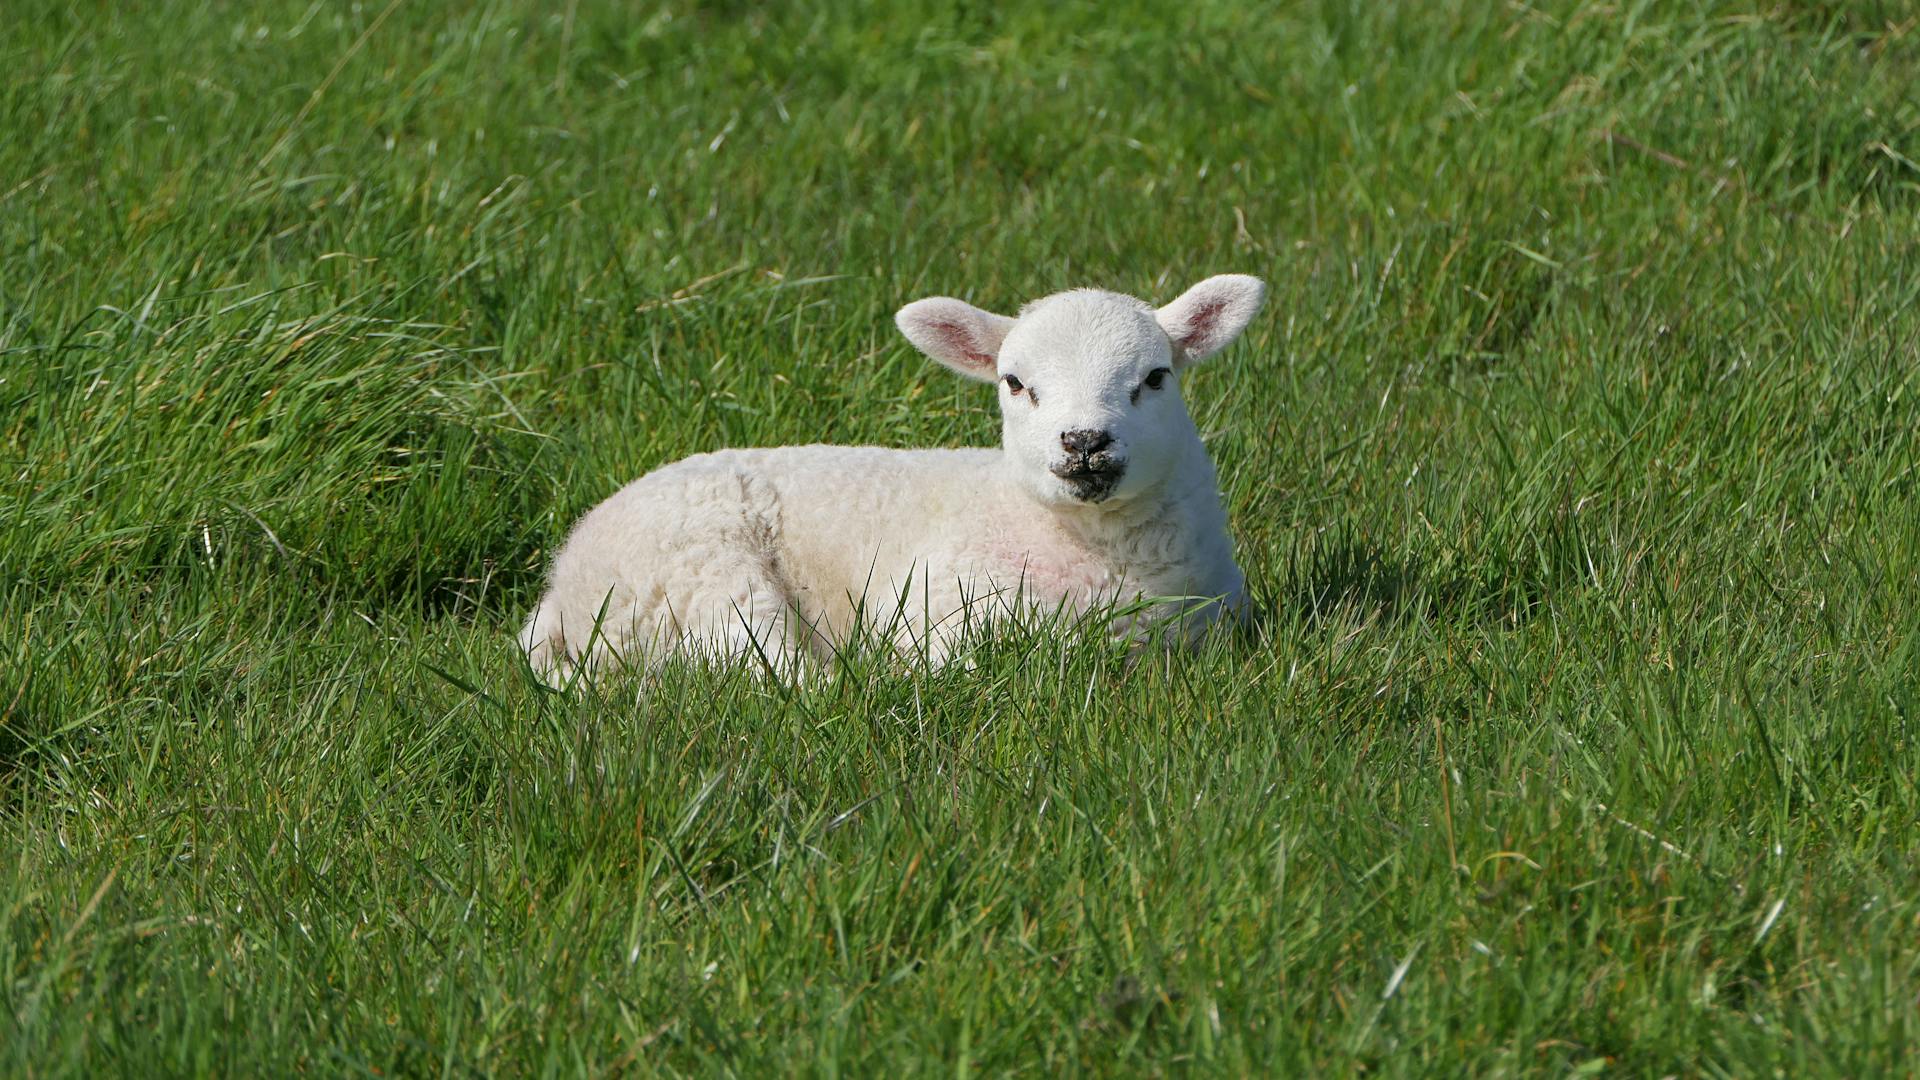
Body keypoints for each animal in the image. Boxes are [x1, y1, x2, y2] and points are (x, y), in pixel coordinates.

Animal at [518, 272, 1267, 676]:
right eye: (1014, 382)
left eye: (1157, 377)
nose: (1084, 442)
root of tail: (562, 591)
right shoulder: (934, 609)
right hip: (701, 578)